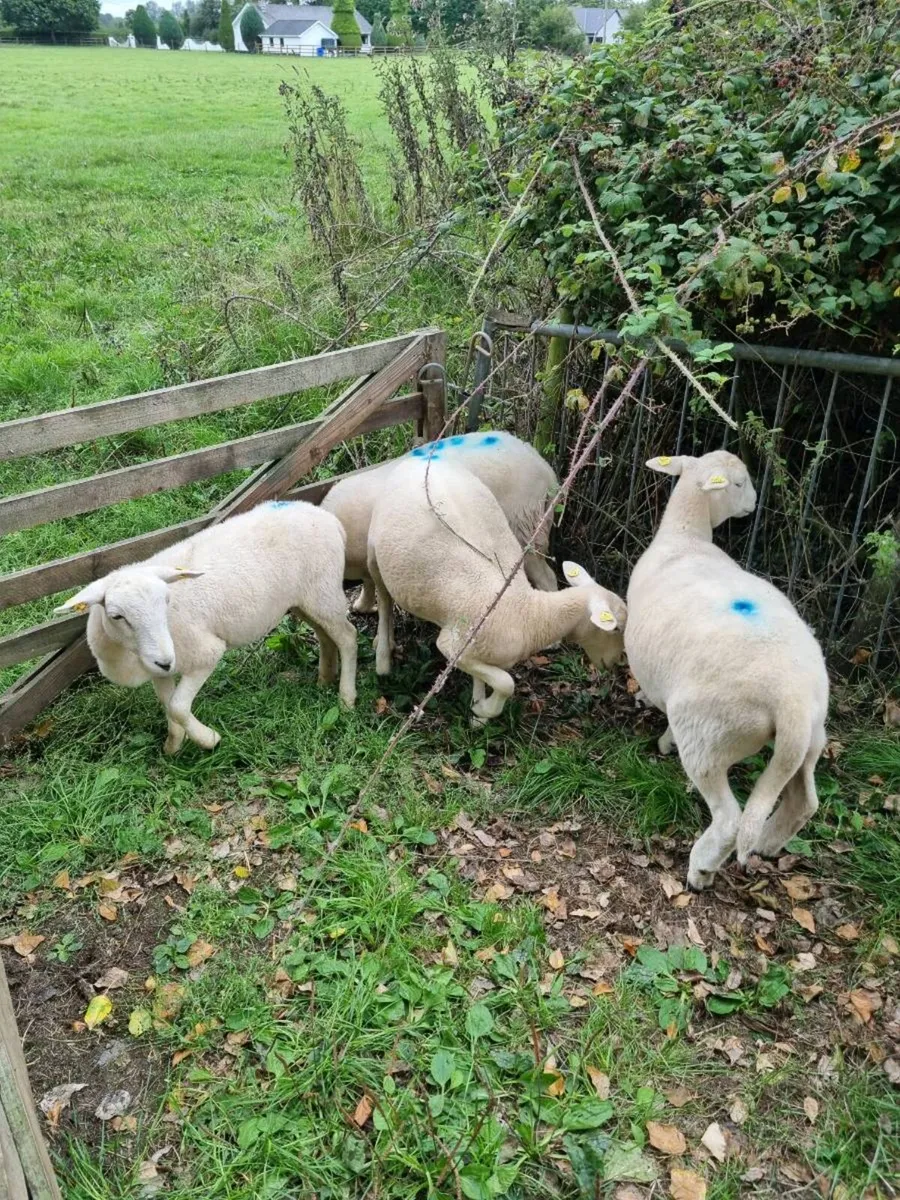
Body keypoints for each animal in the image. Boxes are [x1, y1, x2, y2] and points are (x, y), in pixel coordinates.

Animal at [53, 500, 358, 754]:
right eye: (117, 616)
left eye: (166, 600)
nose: (166, 660)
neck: (129, 658)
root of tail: (326, 517)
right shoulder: (159, 671)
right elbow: (167, 704)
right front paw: (173, 746)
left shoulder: (204, 654)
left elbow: (177, 706)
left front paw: (208, 739)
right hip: (303, 600)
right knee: (325, 636)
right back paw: (324, 679)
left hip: (324, 591)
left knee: (348, 637)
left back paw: (346, 698)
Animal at [322, 430, 559, 613]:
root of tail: (547, 471)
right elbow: (368, 581)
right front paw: (362, 605)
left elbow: (370, 580)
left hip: (525, 525)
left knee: (547, 577)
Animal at [366, 456, 626, 724]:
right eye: (616, 628)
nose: (615, 663)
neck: (530, 614)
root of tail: (418, 460)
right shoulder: (452, 645)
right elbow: (506, 683)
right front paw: (484, 710)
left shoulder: (479, 652)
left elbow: (487, 677)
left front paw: (477, 710)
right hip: (374, 552)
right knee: (384, 600)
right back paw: (383, 657)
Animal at [624, 449, 829, 890]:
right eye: (738, 484)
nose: (752, 504)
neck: (686, 537)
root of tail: (791, 699)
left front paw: (662, 737)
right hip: (811, 738)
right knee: (803, 801)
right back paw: (767, 842)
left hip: (708, 733)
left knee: (730, 819)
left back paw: (701, 868)